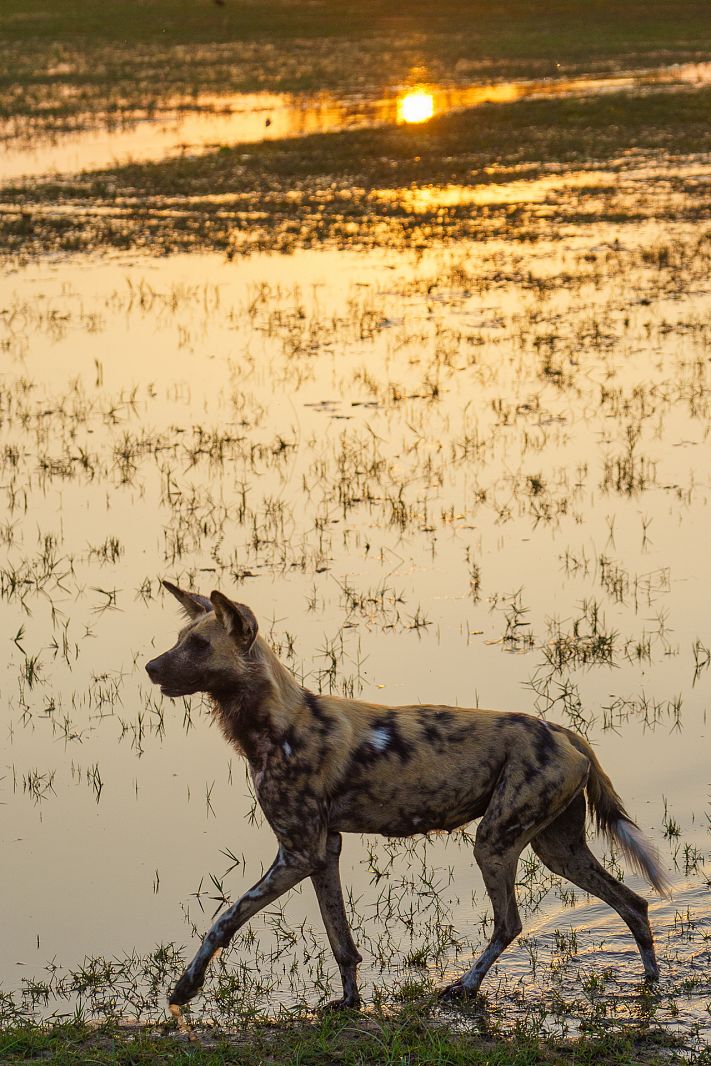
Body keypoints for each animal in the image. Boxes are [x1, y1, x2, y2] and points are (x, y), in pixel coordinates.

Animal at [146, 584, 673, 1006]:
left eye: (199, 645)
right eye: (179, 640)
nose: (150, 666)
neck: (278, 725)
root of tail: (563, 730)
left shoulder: (295, 854)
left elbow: (223, 919)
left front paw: (185, 988)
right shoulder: (323, 851)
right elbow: (341, 941)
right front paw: (349, 1003)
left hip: (493, 842)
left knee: (509, 923)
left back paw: (465, 987)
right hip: (558, 850)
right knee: (633, 903)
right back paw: (650, 981)